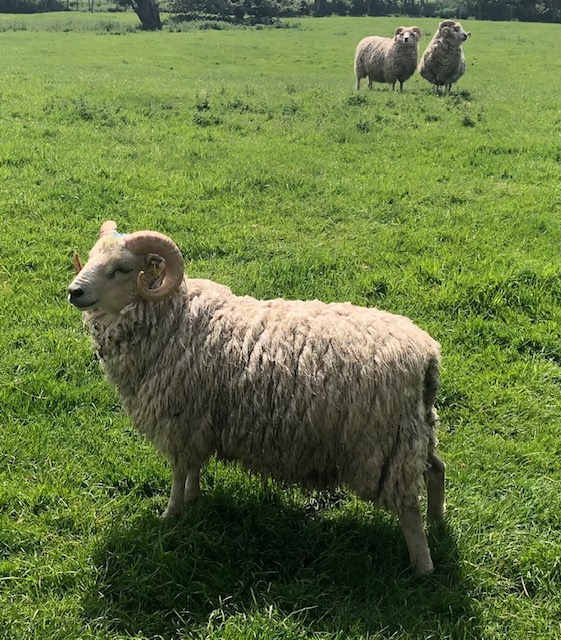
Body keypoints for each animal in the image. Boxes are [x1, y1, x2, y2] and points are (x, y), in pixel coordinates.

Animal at [68, 221, 446, 574]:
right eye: (91, 257)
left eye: (122, 268)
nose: (73, 291)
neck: (174, 319)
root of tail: (427, 354)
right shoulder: (197, 422)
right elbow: (193, 467)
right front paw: (193, 497)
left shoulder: (179, 421)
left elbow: (178, 472)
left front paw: (171, 513)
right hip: (415, 430)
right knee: (436, 469)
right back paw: (438, 522)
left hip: (383, 443)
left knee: (408, 505)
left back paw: (423, 566)